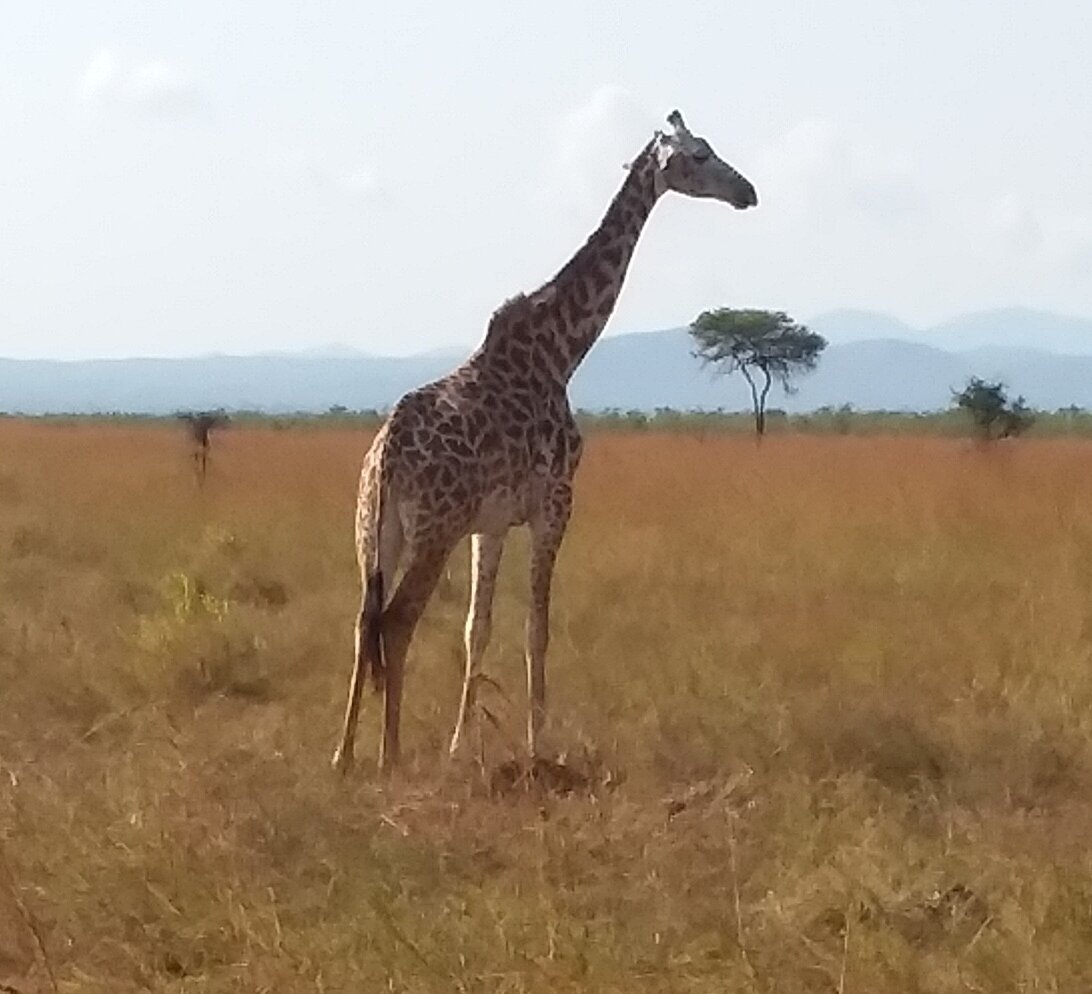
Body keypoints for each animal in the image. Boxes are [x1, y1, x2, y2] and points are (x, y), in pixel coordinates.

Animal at [332, 109, 757, 774]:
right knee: (396, 623)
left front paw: (461, 744)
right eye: (701, 155)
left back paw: (344, 754)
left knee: (362, 623)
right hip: (433, 532)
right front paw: (539, 743)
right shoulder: (554, 503)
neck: (563, 351)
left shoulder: (490, 523)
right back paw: (389, 756)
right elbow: (538, 626)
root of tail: (388, 454)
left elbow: (476, 628)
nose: (748, 192)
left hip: (374, 533)